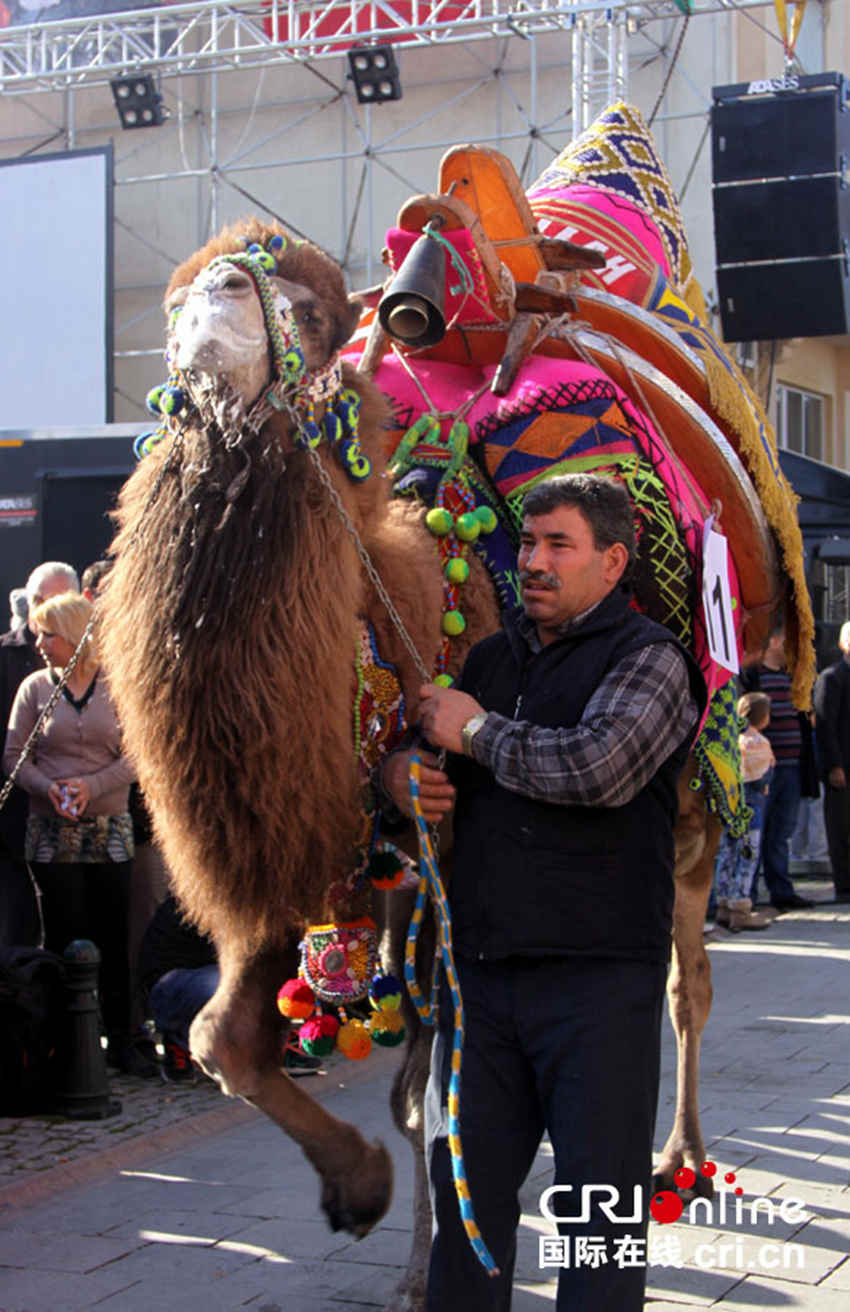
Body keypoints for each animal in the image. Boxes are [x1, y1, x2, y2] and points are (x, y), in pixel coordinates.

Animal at [99, 115, 808, 1312]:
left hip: (704, 789)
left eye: (304, 310)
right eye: (178, 297)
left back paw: (676, 1159)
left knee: (685, 985)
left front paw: (388, 1201)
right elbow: (225, 1038)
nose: (211, 330)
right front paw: (378, 1209)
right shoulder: (320, 838)